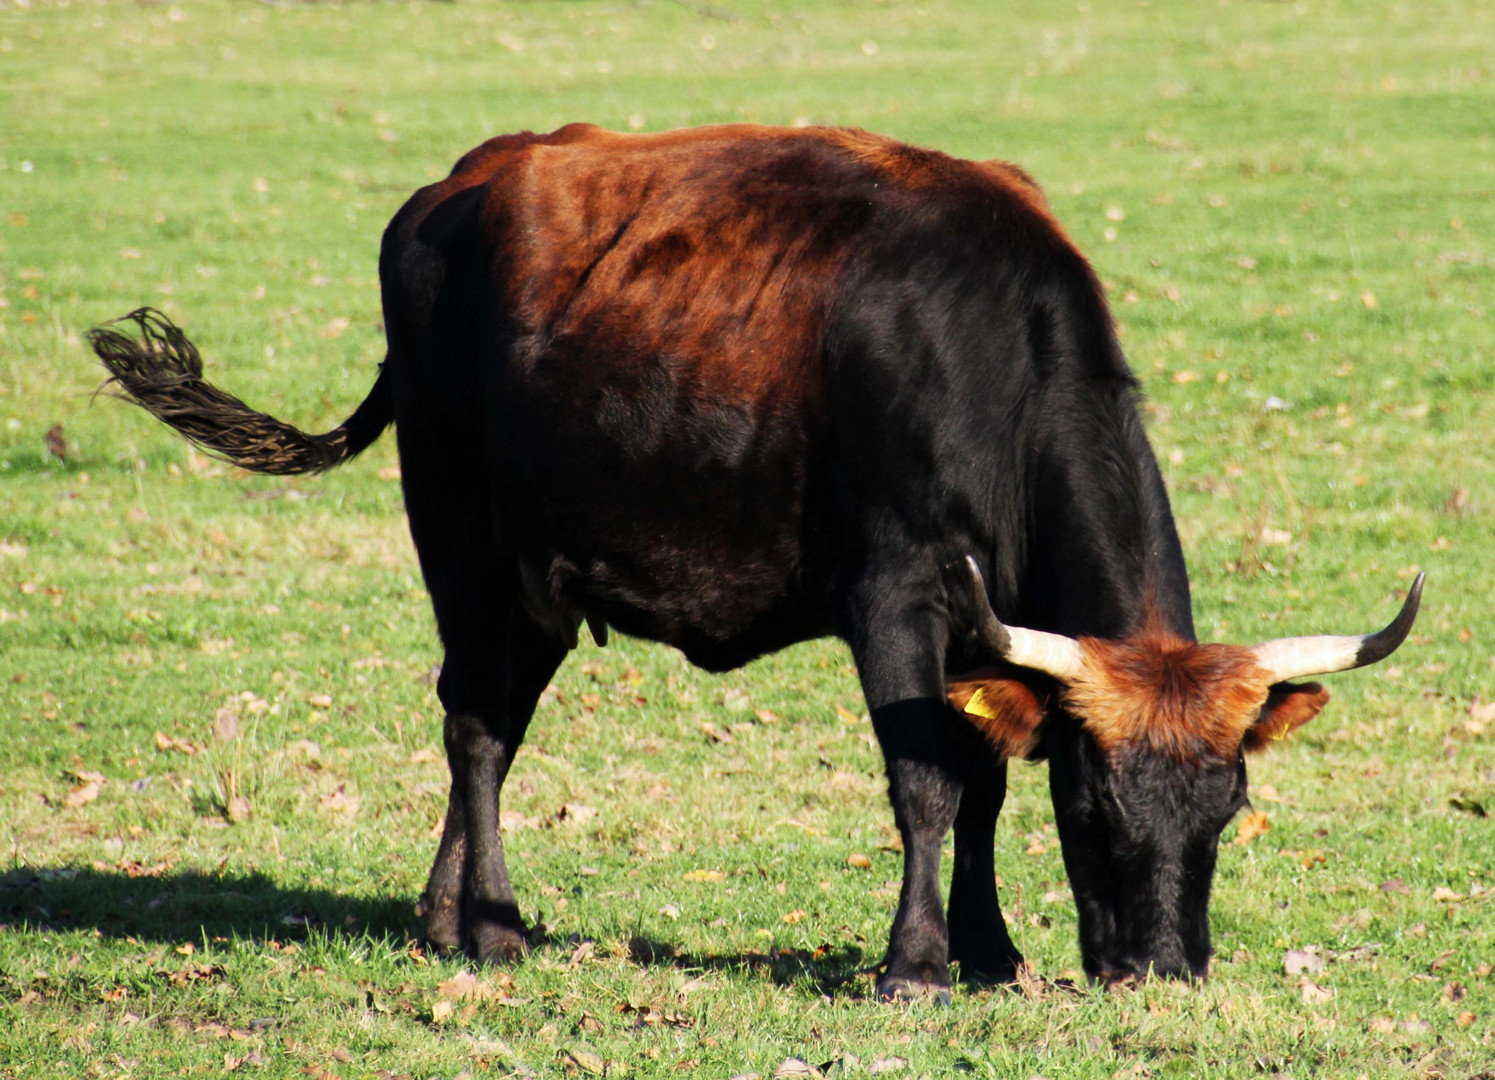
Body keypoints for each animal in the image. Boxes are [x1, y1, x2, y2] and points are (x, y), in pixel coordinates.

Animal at [87, 121, 1417, 999]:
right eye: (1092, 805)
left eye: (1227, 804)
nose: (1164, 970)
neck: (986, 356)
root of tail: (454, 187)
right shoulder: (893, 596)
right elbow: (927, 783)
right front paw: (917, 966)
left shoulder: (977, 631)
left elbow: (981, 780)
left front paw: (988, 951)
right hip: (456, 540)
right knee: (470, 722)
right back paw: (497, 928)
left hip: (539, 586)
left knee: (498, 724)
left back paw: (440, 915)